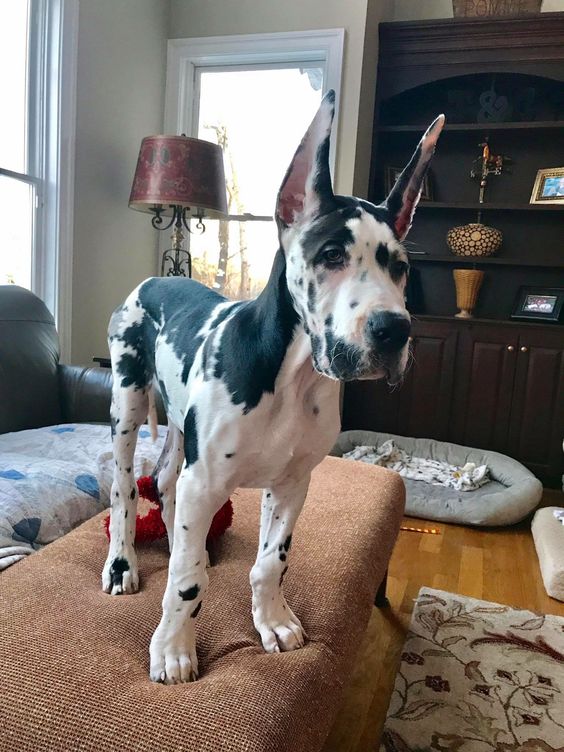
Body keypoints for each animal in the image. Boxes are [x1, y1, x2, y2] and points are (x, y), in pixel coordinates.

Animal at [103, 91, 442, 684]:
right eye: (331, 255)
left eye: (400, 268)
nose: (393, 330)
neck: (292, 375)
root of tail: (155, 278)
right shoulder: (206, 476)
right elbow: (186, 581)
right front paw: (173, 648)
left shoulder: (292, 483)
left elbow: (269, 562)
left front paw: (274, 620)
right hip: (128, 404)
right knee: (126, 489)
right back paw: (124, 563)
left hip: (181, 433)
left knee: (165, 484)